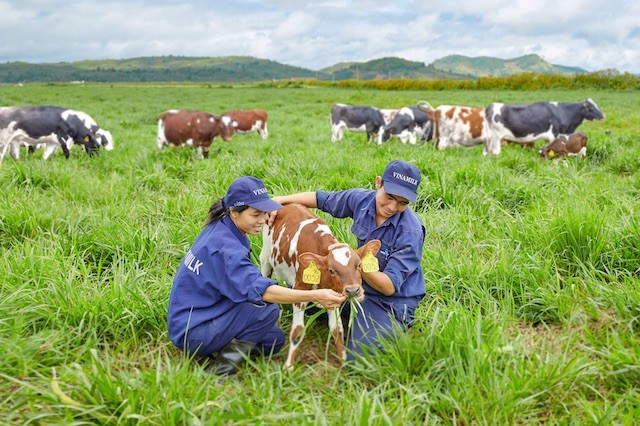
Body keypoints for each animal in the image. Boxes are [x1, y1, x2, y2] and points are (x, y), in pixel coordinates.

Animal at [260, 202, 380, 366]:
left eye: (359, 265)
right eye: (331, 270)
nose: (353, 290)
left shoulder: (333, 295)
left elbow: (337, 330)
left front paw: (343, 361)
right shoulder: (299, 291)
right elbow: (297, 333)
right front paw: (288, 366)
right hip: (266, 258)